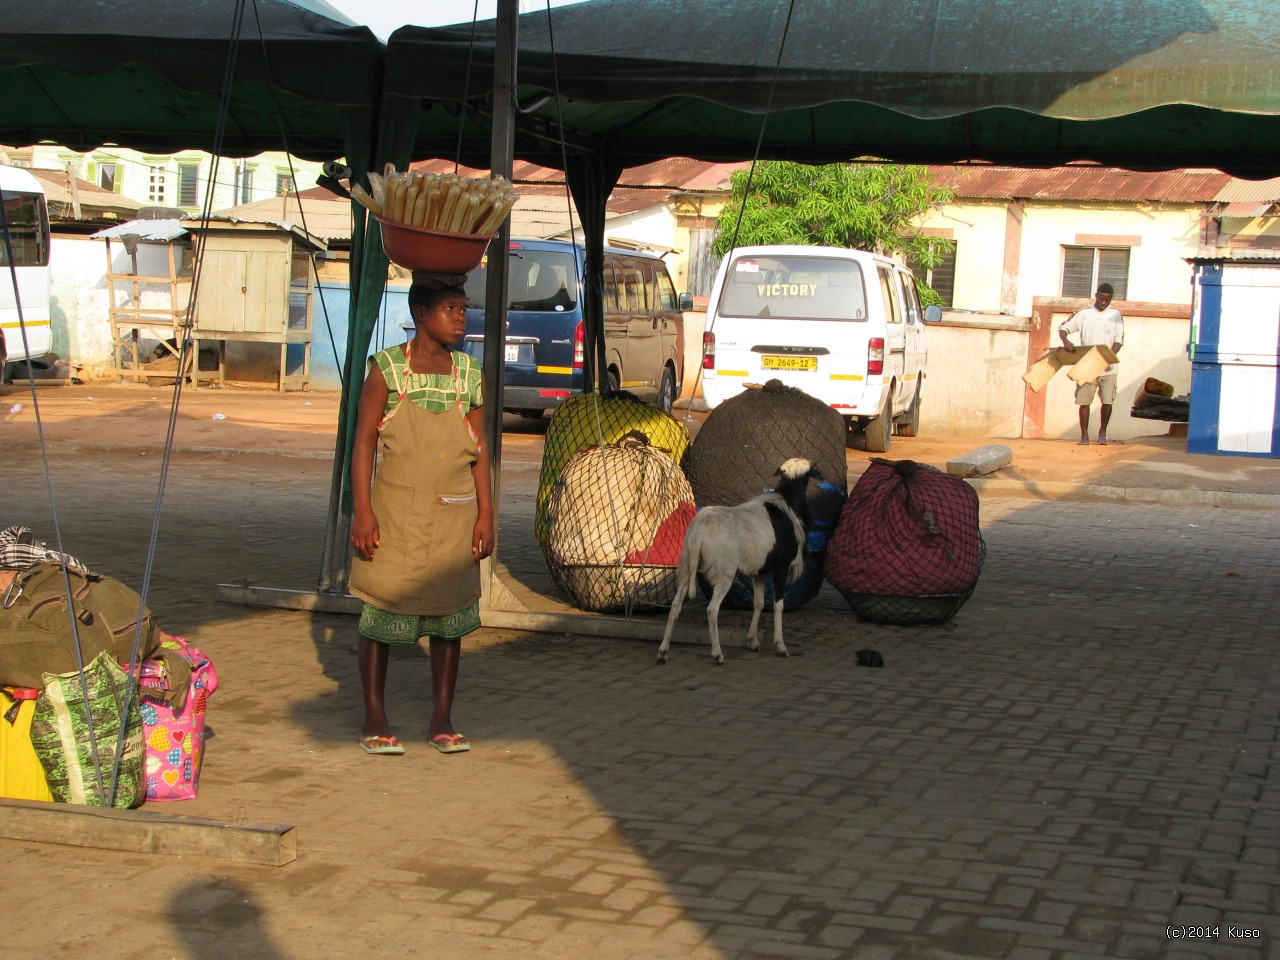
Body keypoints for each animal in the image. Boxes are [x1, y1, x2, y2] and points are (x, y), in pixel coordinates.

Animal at [655, 455, 814, 665]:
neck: (788, 504)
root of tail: (698, 535)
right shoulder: (781, 567)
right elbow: (778, 605)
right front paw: (780, 646)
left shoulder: (760, 571)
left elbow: (759, 603)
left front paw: (752, 640)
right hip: (723, 573)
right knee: (712, 610)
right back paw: (717, 654)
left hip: (686, 569)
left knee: (675, 607)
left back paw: (663, 652)